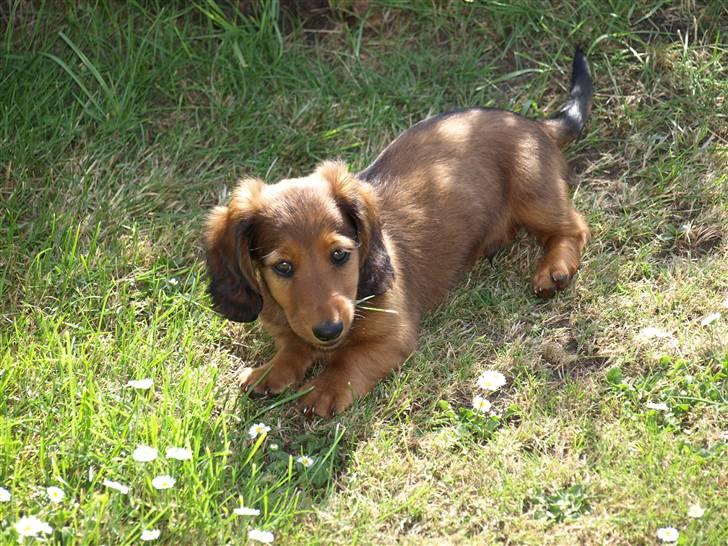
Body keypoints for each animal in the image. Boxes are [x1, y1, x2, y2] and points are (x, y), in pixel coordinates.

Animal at [203, 49, 592, 414]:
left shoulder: (394, 335)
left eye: (340, 255)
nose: (329, 331)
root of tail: (534, 123)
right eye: (283, 267)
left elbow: (349, 360)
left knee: (574, 227)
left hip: (533, 195)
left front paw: (326, 388)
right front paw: (271, 371)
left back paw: (554, 268)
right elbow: (293, 346)